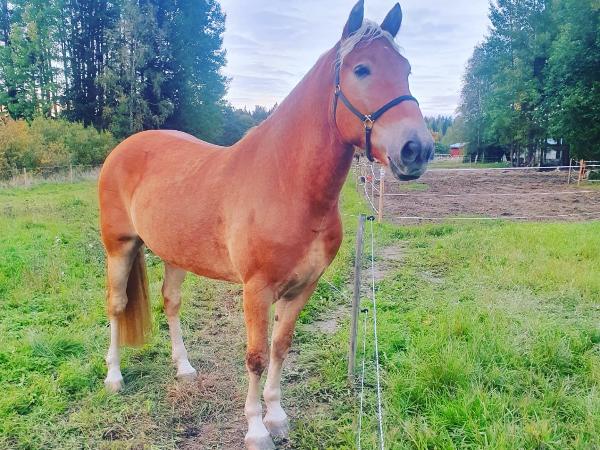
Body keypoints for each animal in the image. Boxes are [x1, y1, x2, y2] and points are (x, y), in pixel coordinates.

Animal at [98, 1, 433, 448]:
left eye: (406, 69)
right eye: (362, 69)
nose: (417, 149)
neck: (285, 184)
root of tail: (124, 148)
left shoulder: (302, 287)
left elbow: (280, 347)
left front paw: (276, 416)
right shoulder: (257, 290)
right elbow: (256, 357)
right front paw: (257, 430)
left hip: (175, 253)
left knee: (170, 301)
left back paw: (184, 369)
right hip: (119, 246)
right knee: (116, 305)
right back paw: (114, 377)